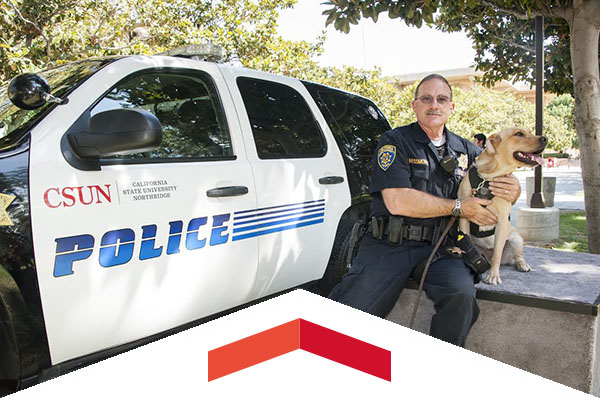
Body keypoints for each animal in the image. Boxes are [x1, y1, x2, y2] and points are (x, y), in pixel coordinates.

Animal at [460, 128, 548, 284]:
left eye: (530, 132)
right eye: (519, 134)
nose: (545, 138)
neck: (488, 178)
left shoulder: (501, 222)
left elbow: (497, 254)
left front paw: (493, 276)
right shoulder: (464, 217)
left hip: (516, 240)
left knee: (516, 256)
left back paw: (522, 265)